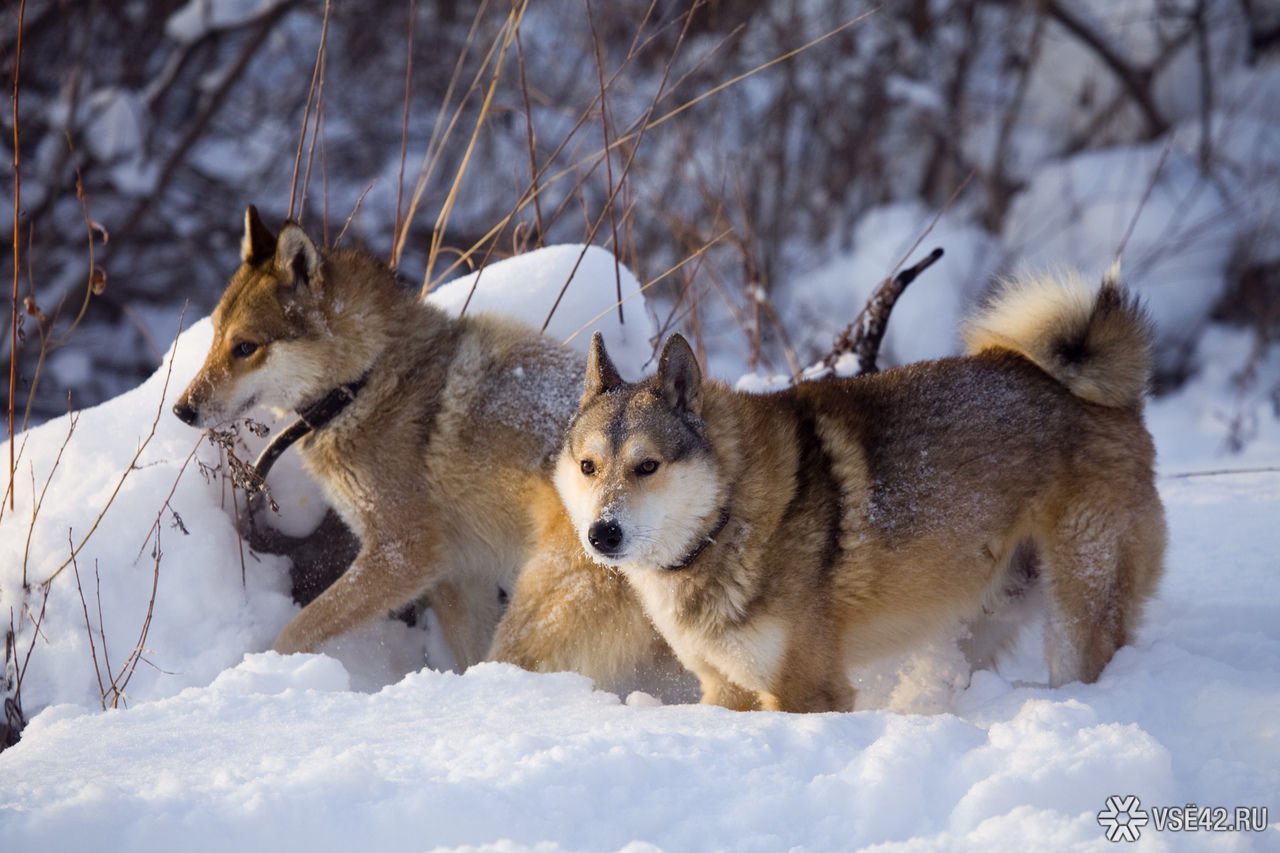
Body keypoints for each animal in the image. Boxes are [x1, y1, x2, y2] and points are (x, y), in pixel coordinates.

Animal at [172, 207, 670, 686]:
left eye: (245, 347)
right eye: (215, 339)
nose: (181, 410)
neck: (364, 381)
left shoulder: (403, 556)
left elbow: (294, 631)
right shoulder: (458, 578)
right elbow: (467, 653)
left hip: (531, 622)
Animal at [555, 274, 1167, 712]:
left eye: (647, 466)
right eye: (588, 467)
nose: (602, 534)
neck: (728, 519)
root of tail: (1115, 403)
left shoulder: (808, 693)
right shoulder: (726, 688)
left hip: (1077, 620)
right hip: (975, 617)